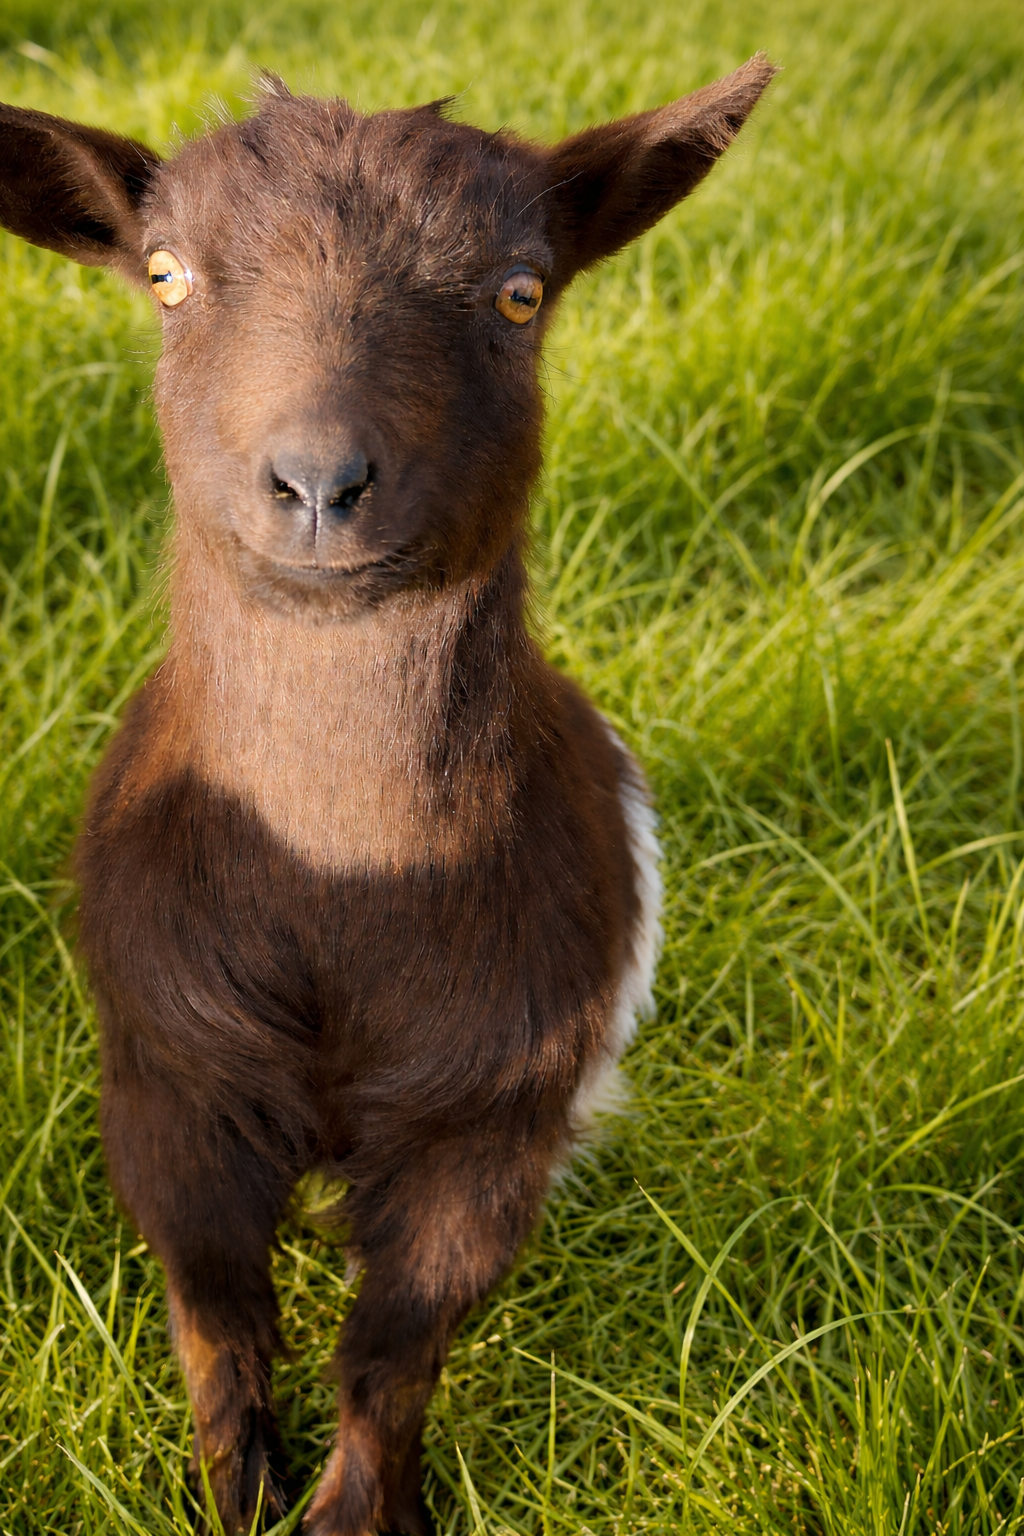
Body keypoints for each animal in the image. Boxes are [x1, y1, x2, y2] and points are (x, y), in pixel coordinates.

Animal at [0, 56, 774, 1536]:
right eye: (166, 275)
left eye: (521, 291)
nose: (317, 482)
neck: (343, 891)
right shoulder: (166, 1071)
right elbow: (215, 1315)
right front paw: (239, 1490)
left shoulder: (493, 1115)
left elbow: (397, 1346)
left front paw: (352, 1508)